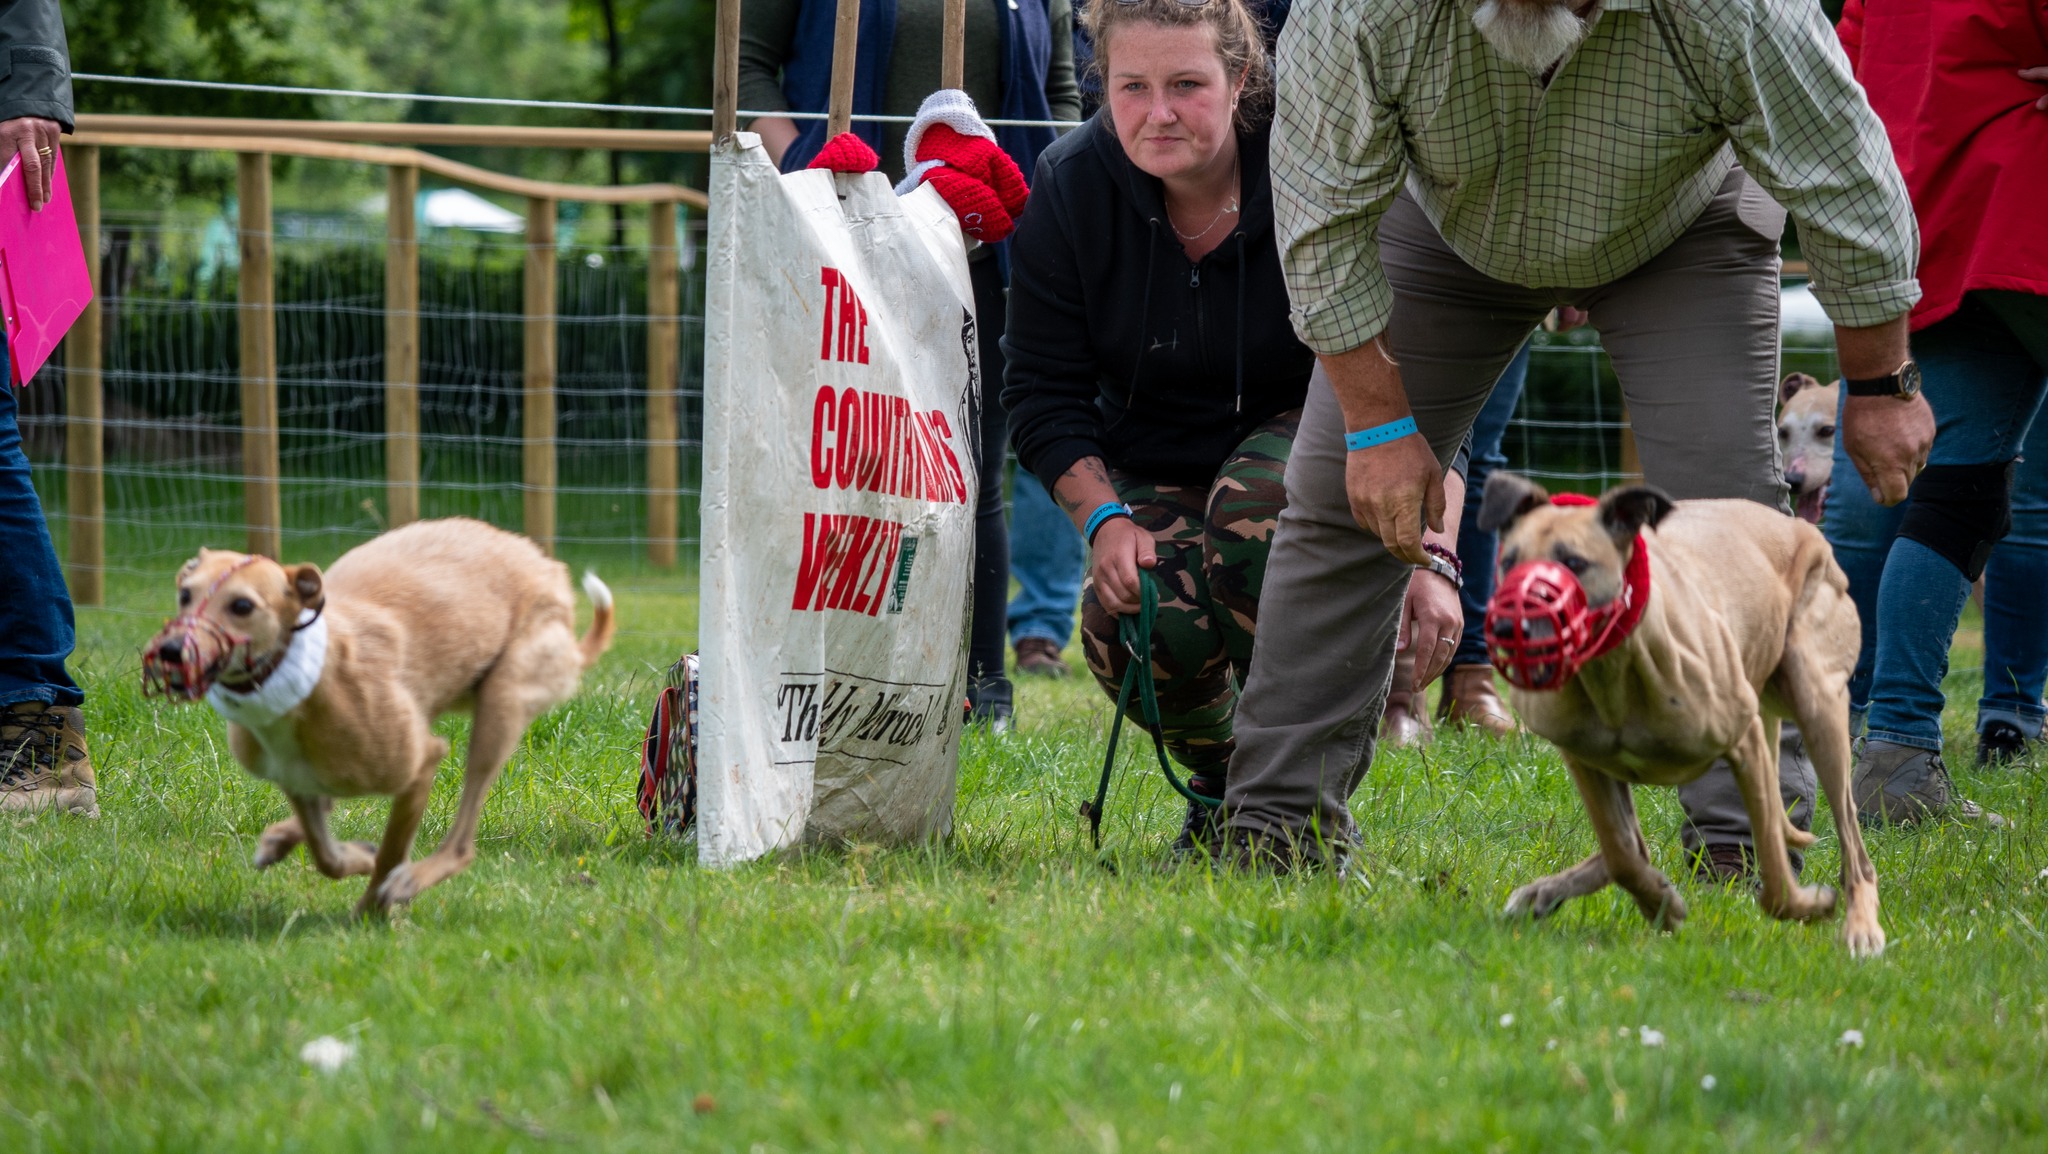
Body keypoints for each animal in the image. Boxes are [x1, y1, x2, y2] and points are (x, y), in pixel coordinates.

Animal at [143, 518, 610, 918]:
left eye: (242, 605)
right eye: (185, 594)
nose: (170, 652)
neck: (314, 679)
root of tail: (545, 564)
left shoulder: (420, 764)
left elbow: (389, 854)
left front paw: (373, 908)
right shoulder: (295, 779)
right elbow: (327, 855)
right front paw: (354, 859)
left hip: (502, 703)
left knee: (462, 839)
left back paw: (413, 877)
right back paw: (286, 839)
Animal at [1474, 473, 1884, 963]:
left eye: (1574, 562)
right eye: (1508, 560)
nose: (1504, 626)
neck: (1612, 668)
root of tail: (1801, 529)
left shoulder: (1746, 742)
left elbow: (1772, 869)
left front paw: (1809, 905)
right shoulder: (1584, 759)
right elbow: (1622, 854)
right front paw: (1661, 904)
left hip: (1818, 706)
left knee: (1854, 847)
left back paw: (1862, 928)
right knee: (1633, 846)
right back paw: (1546, 893)